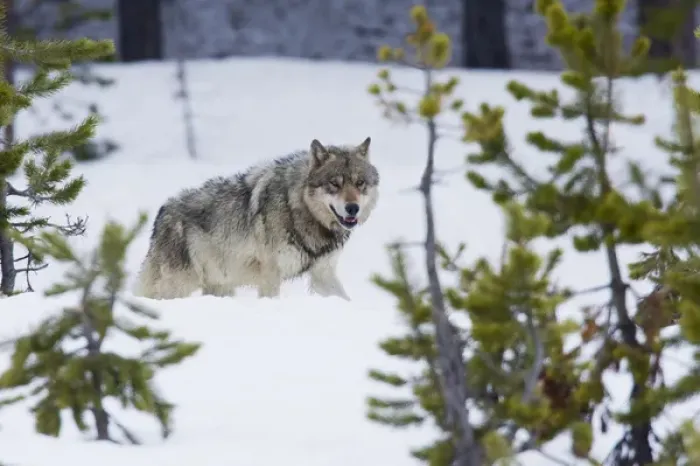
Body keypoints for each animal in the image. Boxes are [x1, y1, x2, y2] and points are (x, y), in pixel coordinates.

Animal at [133, 137, 379, 301]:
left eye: (360, 183)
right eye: (334, 184)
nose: (352, 208)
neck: (297, 208)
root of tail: (162, 212)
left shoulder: (323, 273)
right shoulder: (271, 274)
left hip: (220, 286)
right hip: (177, 286)